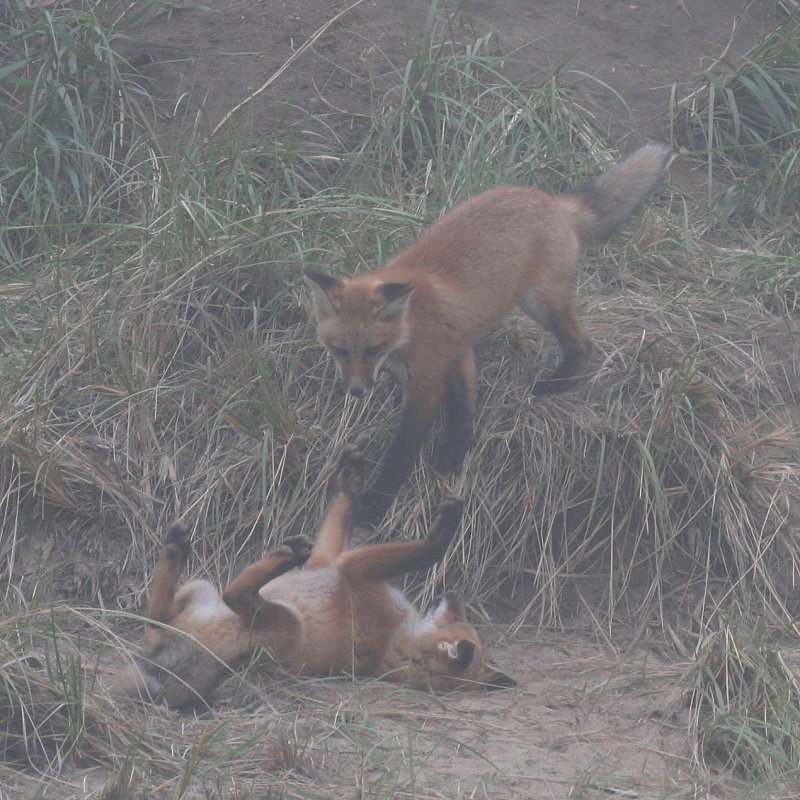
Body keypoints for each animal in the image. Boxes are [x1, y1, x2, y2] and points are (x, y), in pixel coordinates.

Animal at [111, 446, 512, 708]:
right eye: (461, 616)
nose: (454, 593)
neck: (396, 643)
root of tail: (211, 656)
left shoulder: (351, 566)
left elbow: (429, 552)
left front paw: (443, 531)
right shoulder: (331, 559)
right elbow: (342, 510)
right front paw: (351, 479)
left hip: (287, 623)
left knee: (233, 594)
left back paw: (280, 556)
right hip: (198, 588)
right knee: (157, 613)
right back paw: (177, 548)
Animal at [304, 144, 668, 524]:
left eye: (373, 349)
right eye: (340, 350)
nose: (357, 391)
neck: (410, 322)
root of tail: (552, 200)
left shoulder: (425, 383)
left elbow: (400, 454)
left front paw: (374, 505)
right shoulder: (456, 349)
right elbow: (464, 406)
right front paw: (455, 454)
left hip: (539, 301)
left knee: (583, 345)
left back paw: (553, 386)